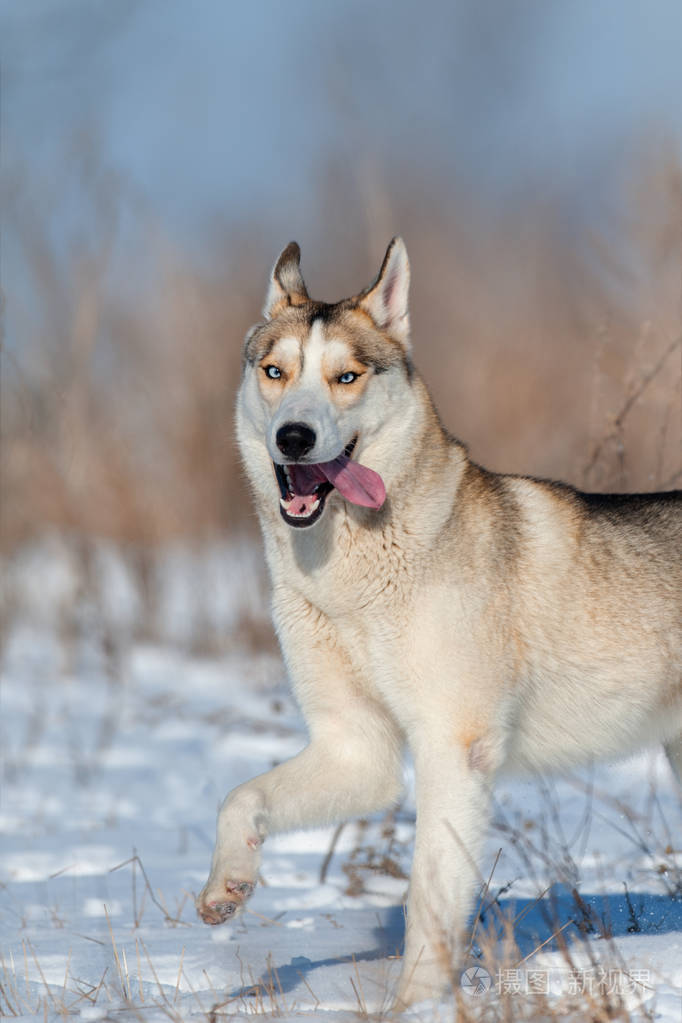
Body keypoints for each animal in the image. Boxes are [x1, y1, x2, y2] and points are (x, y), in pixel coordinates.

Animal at [197, 234, 682, 1006]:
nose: (294, 436)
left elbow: (428, 893)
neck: (353, 582)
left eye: (347, 376)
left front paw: (416, 1002)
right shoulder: (354, 746)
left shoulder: (453, 747)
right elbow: (239, 799)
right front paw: (227, 886)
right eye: (276, 372)